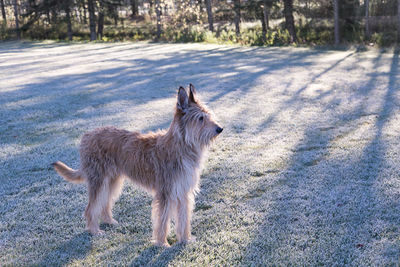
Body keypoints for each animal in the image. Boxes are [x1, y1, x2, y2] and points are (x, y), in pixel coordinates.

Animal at [52, 85, 223, 248]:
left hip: (112, 181)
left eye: (208, 115)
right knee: (91, 208)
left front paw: (185, 240)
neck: (181, 145)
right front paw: (163, 244)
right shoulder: (165, 193)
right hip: (98, 181)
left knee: (105, 203)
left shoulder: (183, 192)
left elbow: (184, 219)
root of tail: (86, 136)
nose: (220, 129)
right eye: (200, 118)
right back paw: (94, 230)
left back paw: (109, 221)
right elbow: (162, 221)